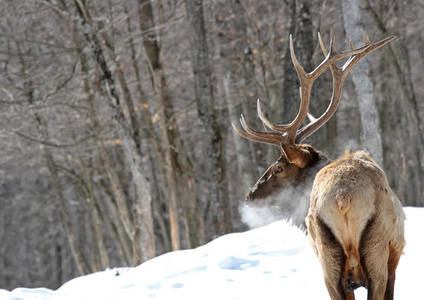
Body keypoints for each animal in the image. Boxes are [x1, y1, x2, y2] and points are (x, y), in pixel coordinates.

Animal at [234, 28, 406, 300]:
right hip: (372, 252)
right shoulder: (393, 260)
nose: (250, 195)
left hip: (331, 262)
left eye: (278, 168)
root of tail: (343, 198)